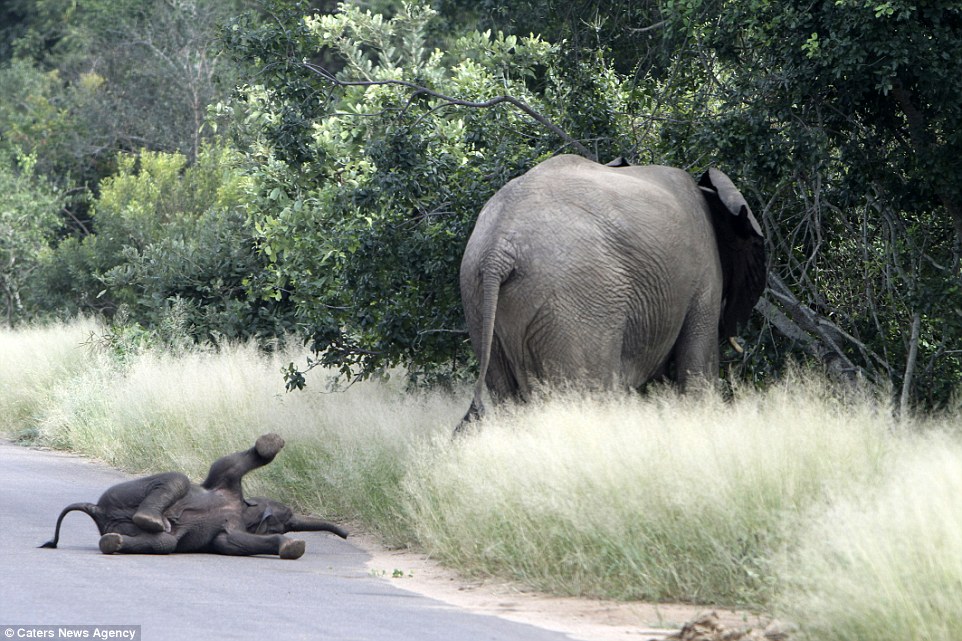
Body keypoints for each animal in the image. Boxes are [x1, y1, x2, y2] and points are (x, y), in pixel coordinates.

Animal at [43, 432, 348, 556]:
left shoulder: (227, 535)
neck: (242, 508)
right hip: (121, 493)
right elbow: (234, 462)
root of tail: (97, 510)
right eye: (288, 517)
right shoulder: (225, 476)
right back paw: (153, 519)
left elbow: (236, 542)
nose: (346, 534)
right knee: (177, 479)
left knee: (164, 542)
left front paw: (293, 547)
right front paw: (271, 443)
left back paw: (114, 541)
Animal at [458, 152, 764, 428]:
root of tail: (498, 248)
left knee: (506, 395)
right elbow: (698, 367)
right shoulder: (705, 273)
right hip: (577, 302)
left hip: (477, 299)